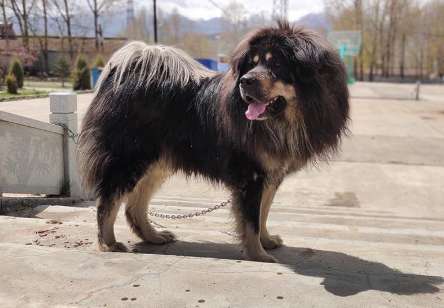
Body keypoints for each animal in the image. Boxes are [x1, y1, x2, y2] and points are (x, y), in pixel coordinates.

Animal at [79, 21, 350, 262]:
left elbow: (263, 213)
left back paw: (153, 236)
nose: (246, 81)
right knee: (108, 202)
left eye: (276, 63)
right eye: (251, 64)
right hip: (128, 160)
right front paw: (259, 255)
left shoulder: (270, 175)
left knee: (134, 206)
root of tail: (124, 73)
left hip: (157, 164)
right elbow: (251, 220)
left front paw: (267, 241)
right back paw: (108, 243)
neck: (279, 122)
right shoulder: (250, 176)